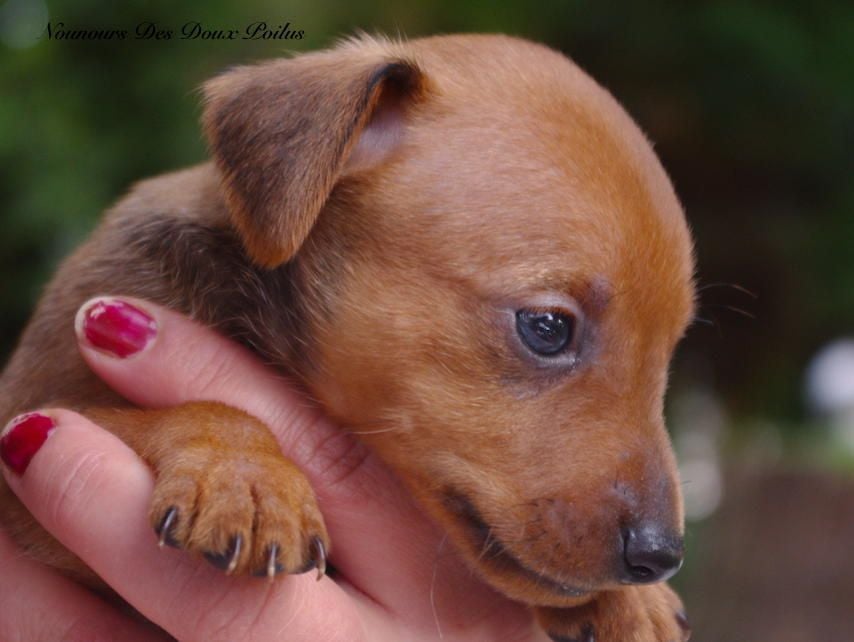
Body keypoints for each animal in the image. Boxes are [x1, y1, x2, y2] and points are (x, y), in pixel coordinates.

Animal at [0, 36, 696, 640]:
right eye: (547, 328)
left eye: (667, 352)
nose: (660, 558)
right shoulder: (25, 426)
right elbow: (179, 410)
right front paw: (243, 476)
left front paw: (633, 604)